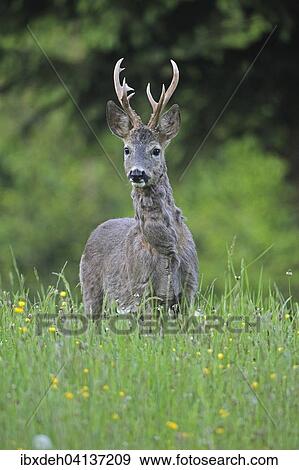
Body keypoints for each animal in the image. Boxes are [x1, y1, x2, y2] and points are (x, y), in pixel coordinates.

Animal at [81, 58, 200, 316]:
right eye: (127, 149)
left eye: (156, 150)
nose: (137, 173)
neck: (165, 250)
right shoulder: (140, 289)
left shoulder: (189, 288)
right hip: (91, 290)